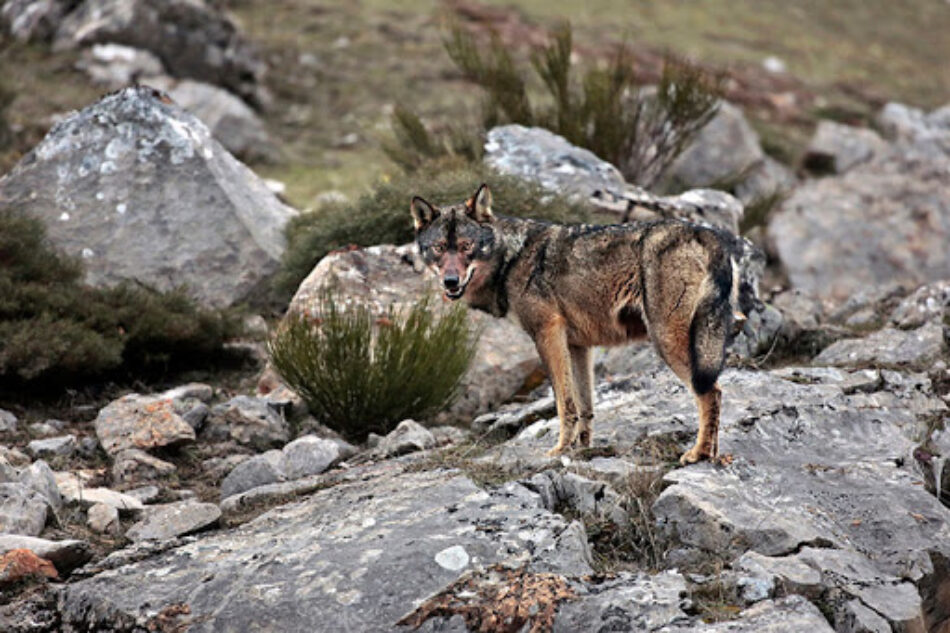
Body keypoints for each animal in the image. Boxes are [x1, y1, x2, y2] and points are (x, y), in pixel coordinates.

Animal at [410, 183, 744, 464]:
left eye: (466, 246)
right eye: (439, 248)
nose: (450, 281)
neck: (510, 260)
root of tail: (708, 234)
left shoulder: (547, 334)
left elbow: (563, 402)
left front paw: (560, 449)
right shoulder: (578, 345)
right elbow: (585, 405)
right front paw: (583, 447)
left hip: (667, 341)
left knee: (711, 392)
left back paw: (699, 453)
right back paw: (714, 453)